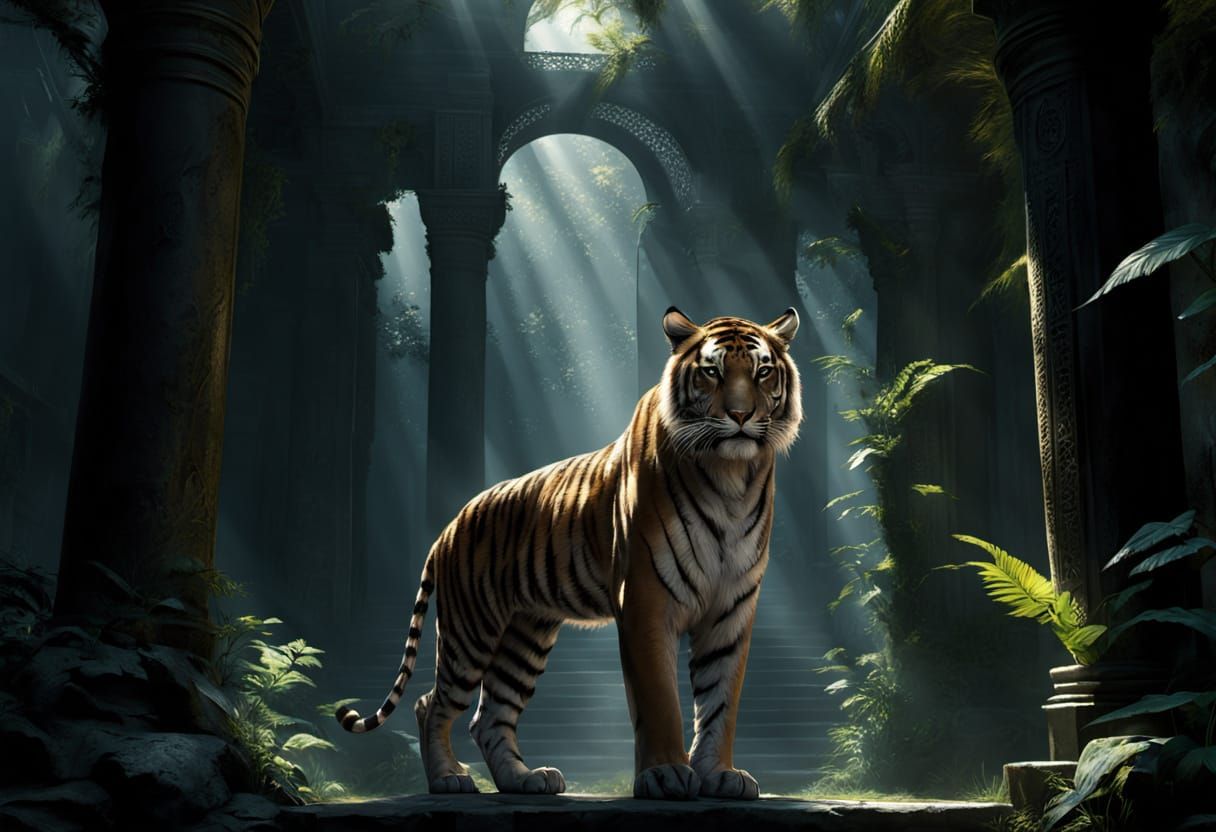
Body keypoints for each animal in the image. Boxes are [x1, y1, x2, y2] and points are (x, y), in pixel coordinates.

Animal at [336, 306, 802, 800]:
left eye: (763, 371)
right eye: (712, 372)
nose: (740, 415)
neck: (729, 475)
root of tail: (449, 525)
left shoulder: (731, 607)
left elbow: (721, 701)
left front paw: (720, 774)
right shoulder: (645, 599)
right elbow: (660, 700)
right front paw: (665, 774)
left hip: (524, 636)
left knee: (489, 718)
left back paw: (524, 779)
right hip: (471, 631)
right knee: (431, 704)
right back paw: (448, 778)